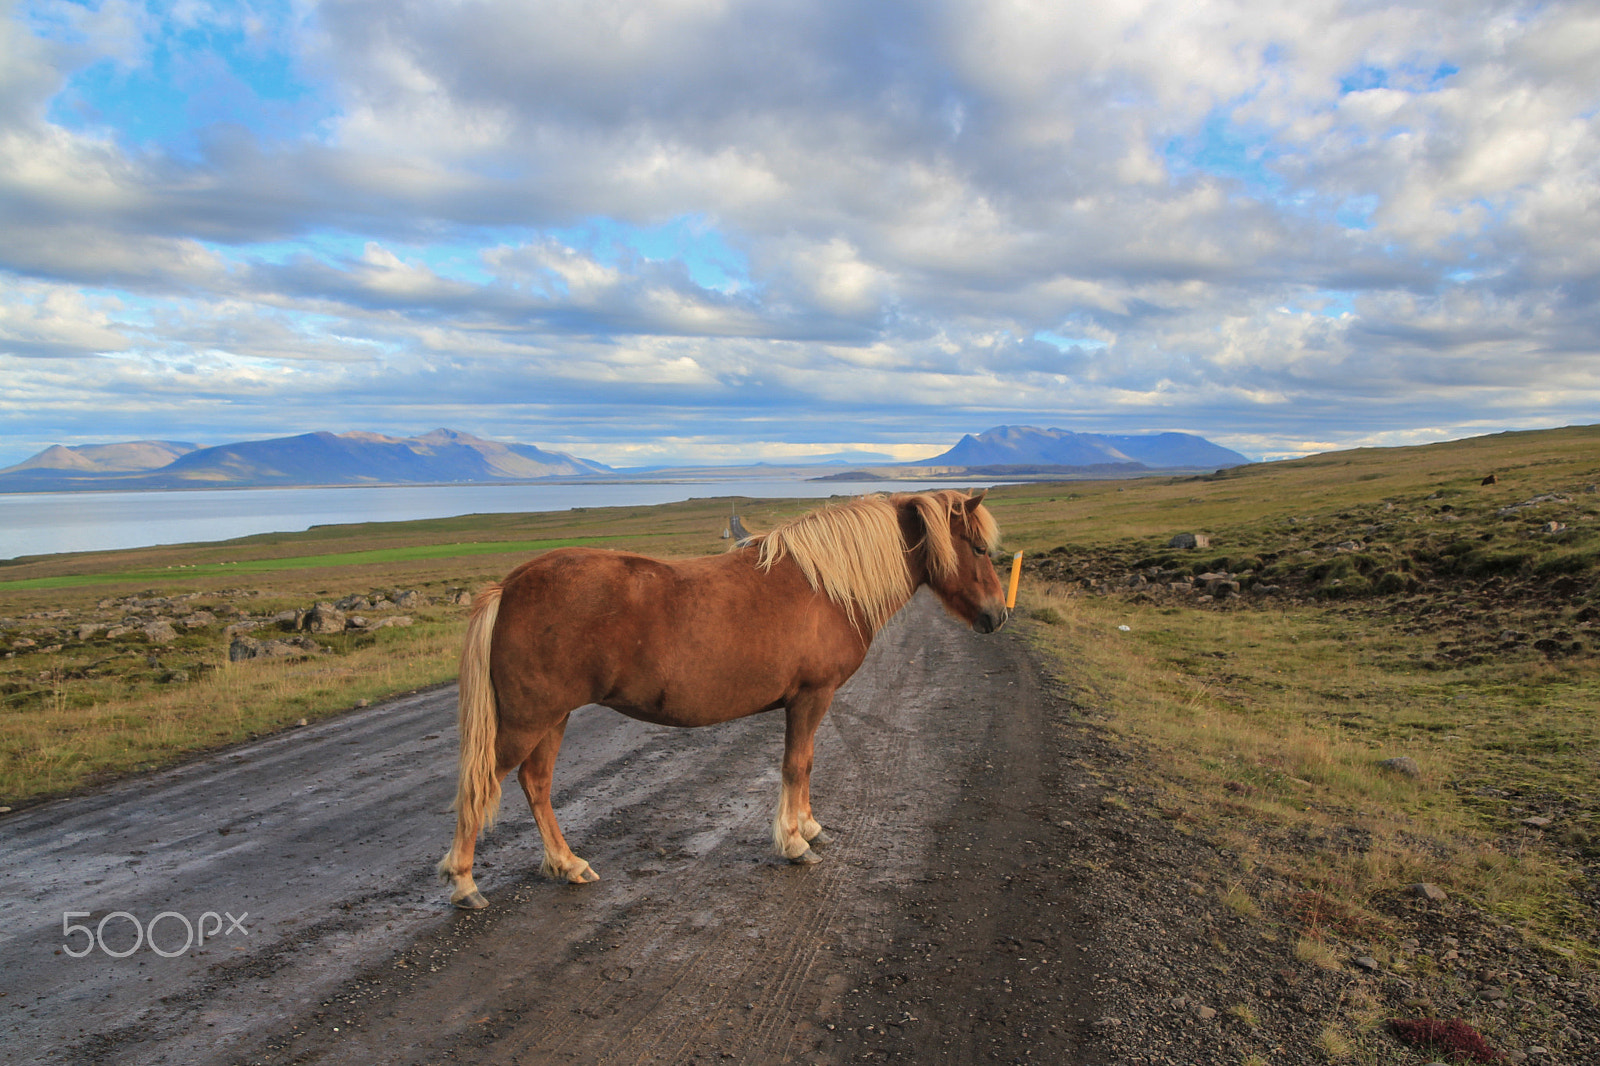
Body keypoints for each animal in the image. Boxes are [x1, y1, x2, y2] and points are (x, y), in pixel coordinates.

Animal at [438, 486, 1004, 902]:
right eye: (978, 548)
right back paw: (464, 882)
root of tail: (509, 587)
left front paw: (809, 826)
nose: (998, 615)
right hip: (529, 720)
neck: (826, 586)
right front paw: (794, 841)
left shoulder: (810, 702)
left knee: (536, 784)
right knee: (482, 783)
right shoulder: (811, 697)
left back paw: (567, 863)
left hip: (552, 719)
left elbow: (807, 764)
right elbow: (796, 764)